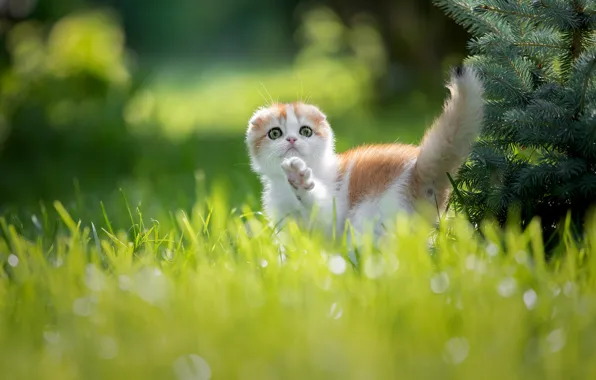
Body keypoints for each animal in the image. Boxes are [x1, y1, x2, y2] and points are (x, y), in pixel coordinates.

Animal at [244, 65, 482, 243]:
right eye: (275, 133)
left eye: (305, 131)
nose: (292, 139)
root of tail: (418, 171)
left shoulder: (333, 211)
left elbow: (323, 214)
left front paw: (299, 179)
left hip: (373, 214)